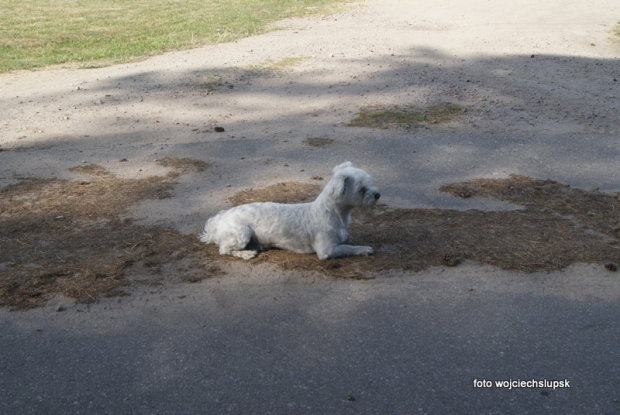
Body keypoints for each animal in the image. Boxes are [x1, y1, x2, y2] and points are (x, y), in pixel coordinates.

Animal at [201, 162, 380, 260]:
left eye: (370, 183)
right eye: (362, 190)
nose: (378, 194)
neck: (333, 213)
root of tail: (219, 220)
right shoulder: (326, 250)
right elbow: (349, 248)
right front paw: (364, 249)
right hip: (242, 232)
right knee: (225, 250)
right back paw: (246, 254)